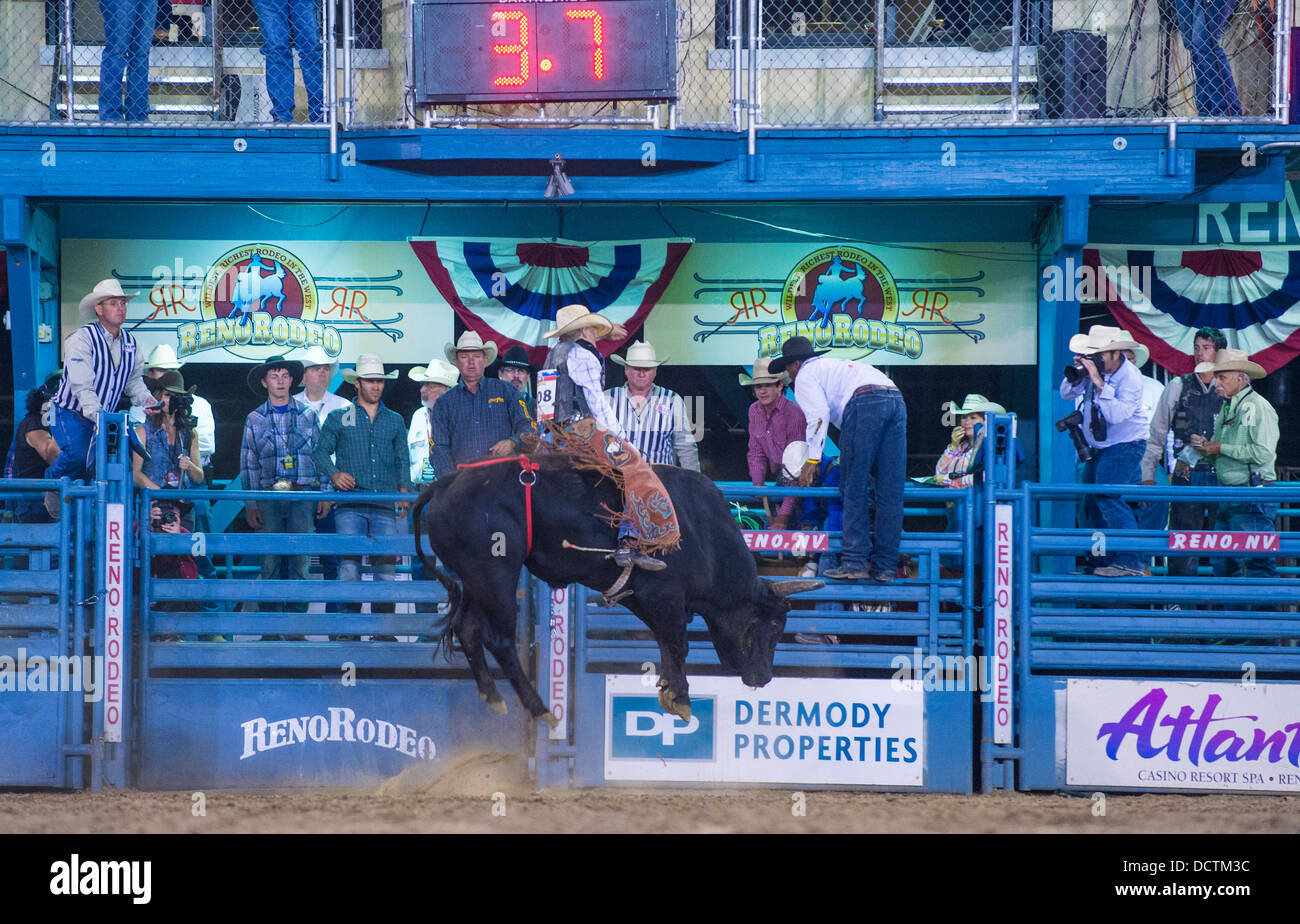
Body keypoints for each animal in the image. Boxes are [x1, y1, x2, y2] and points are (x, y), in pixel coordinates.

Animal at [413, 460, 821, 727]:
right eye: (773, 627)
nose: (763, 677)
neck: (703, 533)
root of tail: (447, 483)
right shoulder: (665, 595)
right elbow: (678, 644)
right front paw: (681, 699)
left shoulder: (646, 599)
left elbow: (666, 642)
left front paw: (667, 689)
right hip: (496, 574)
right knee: (498, 639)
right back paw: (540, 709)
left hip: (473, 580)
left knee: (467, 628)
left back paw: (493, 696)